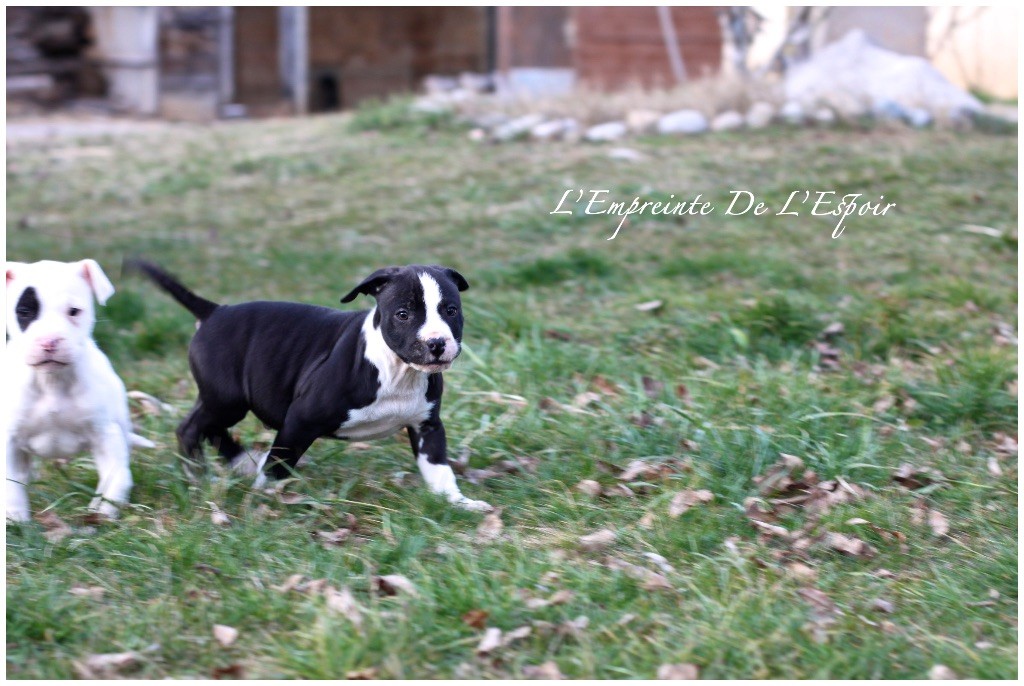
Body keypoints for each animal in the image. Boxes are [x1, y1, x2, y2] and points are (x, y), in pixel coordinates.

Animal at [6, 259, 149, 522]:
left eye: (73, 311)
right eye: (24, 312)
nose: (49, 341)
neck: (52, 382)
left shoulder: (105, 433)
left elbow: (117, 474)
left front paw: (104, 508)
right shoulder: (9, 439)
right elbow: (10, 483)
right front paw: (15, 517)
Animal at [131, 260, 492, 512]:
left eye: (451, 310)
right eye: (403, 314)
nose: (437, 343)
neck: (397, 370)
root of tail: (215, 311)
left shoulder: (427, 425)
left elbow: (438, 468)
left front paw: (457, 502)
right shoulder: (300, 419)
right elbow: (278, 463)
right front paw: (262, 500)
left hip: (222, 400)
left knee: (209, 426)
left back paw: (239, 462)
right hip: (227, 399)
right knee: (191, 427)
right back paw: (196, 475)